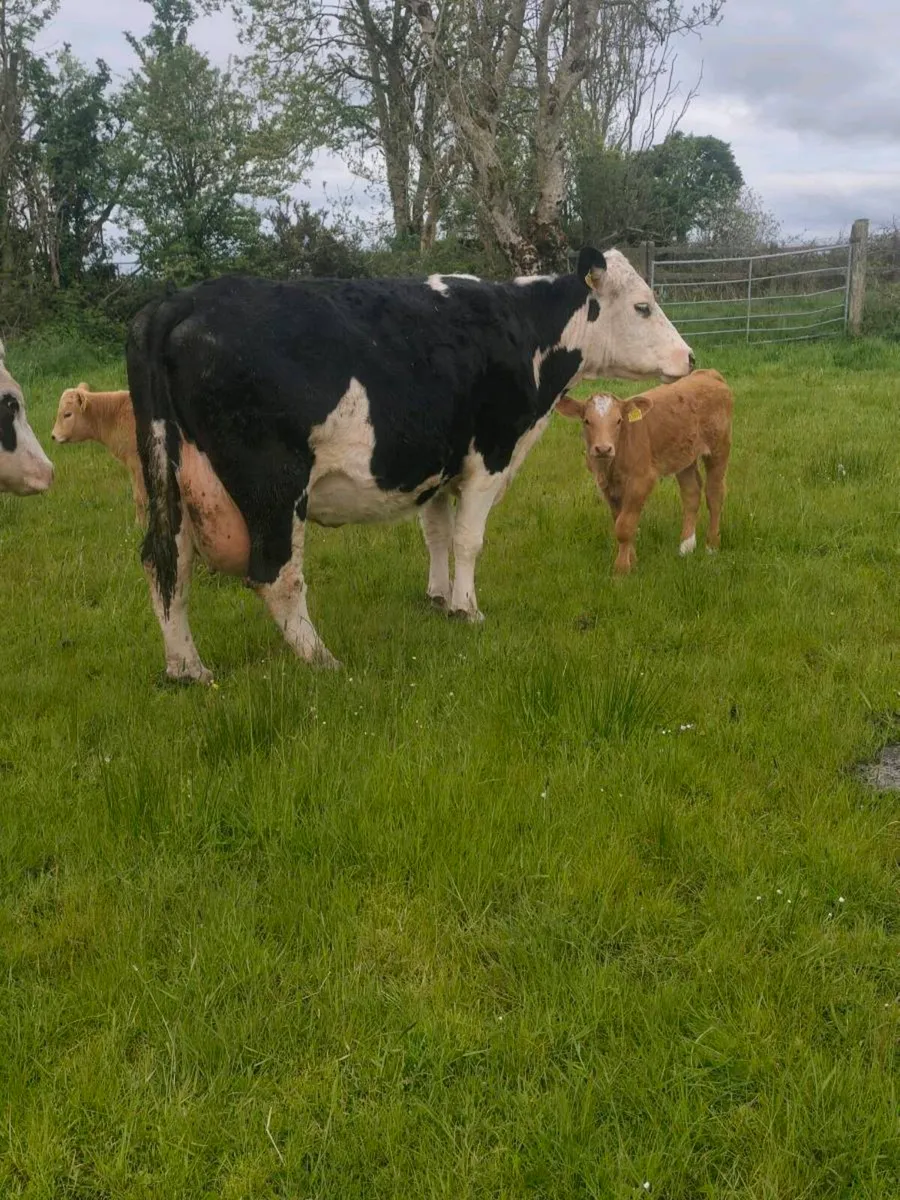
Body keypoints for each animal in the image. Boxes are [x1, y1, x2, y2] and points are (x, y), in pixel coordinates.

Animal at [126, 247, 694, 682]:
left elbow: (436, 535)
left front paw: (438, 598)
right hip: (274, 484)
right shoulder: (489, 457)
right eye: (643, 306)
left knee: (166, 563)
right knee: (275, 574)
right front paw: (468, 609)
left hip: (170, 480)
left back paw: (187, 669)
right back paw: (321, 659)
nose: (689, 357)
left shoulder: (436, 468)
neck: (522, 330)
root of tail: (180, 300)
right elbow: (468, 539)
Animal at [556, 368, 733, 574]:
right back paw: (686, 547)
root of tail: (708, 373)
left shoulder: (641, 480)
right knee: (691, 493)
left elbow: (624, 526)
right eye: (586, 421)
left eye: (618, 421)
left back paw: (712, 546)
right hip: (684, 456)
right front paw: (633, 561)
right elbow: (620, 521)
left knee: (714, 494)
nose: (603, 448)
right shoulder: (607, 487)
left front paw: (622, 569)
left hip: (719, 448)